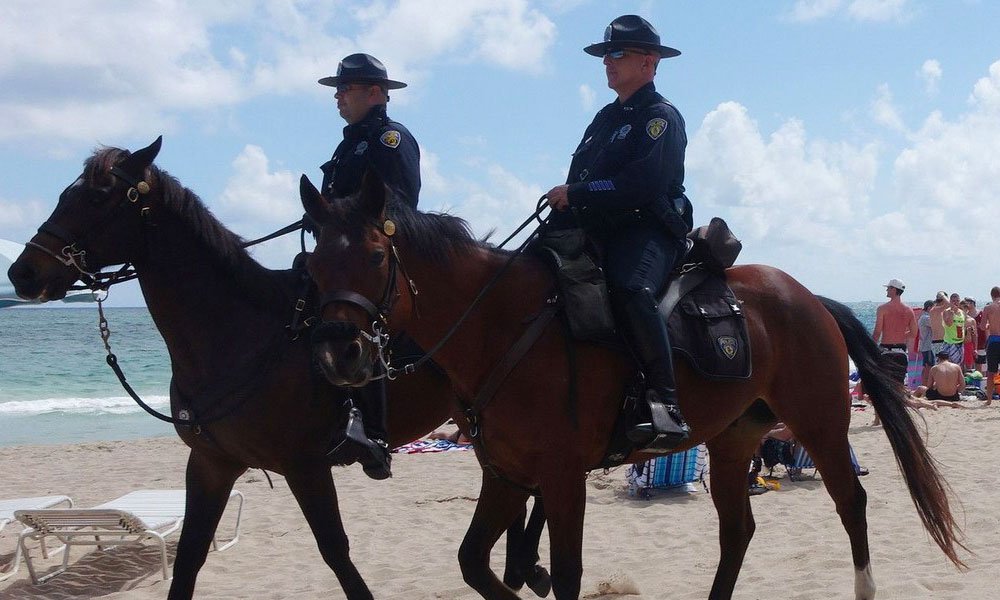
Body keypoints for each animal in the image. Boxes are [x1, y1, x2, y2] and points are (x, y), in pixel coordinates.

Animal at [298, 170, 968, 600]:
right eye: (313, 265)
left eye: (377, 258)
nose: (339, 353)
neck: (502, 324)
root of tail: (811, 299)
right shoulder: (507, 474)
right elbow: (474, 563)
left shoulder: (561, 476)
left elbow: (566, 575)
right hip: (733, 441)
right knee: (738, 530)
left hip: (820, 423)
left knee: (851, 504)